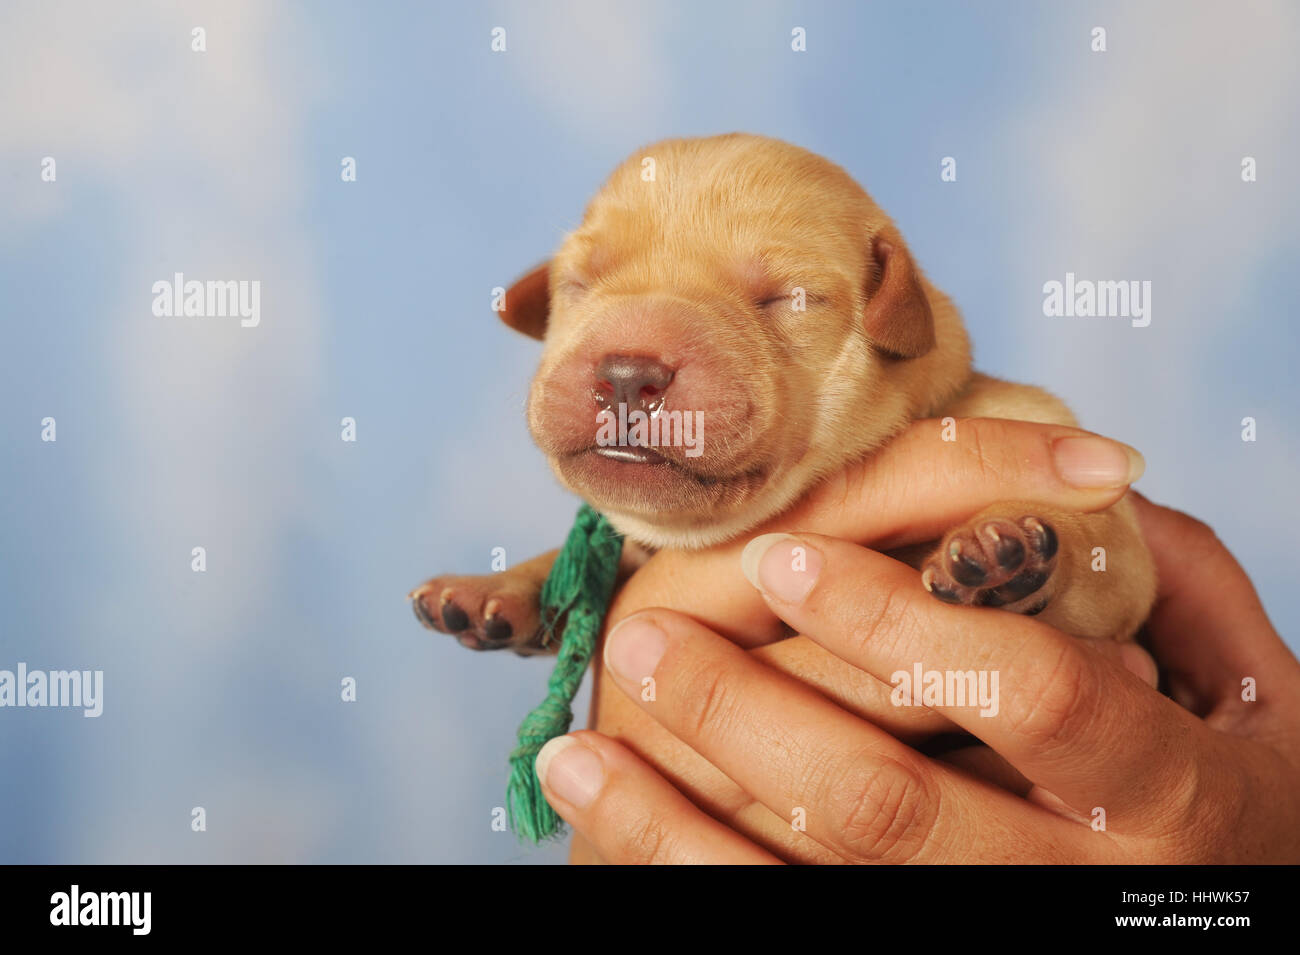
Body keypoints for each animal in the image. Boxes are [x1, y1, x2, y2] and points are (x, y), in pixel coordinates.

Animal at [408, 134, 1159, 654]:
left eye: (787, 299)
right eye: (577, 284)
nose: (624, 372)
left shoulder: (1113, 552)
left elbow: (1099, 549)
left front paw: (1016, 550)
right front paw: (496, 588)